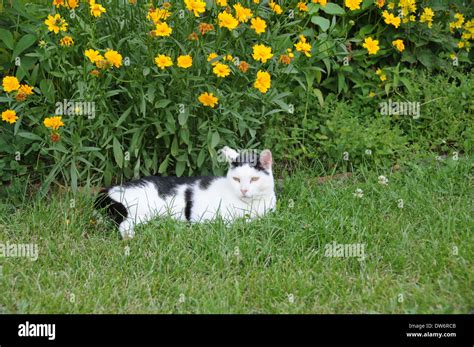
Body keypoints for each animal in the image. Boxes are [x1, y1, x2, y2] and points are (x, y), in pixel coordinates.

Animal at [94, 147, 276, 239]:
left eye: (254, 179)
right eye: (237, 179)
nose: (243, 190)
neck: (252, 205)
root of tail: (110, 190)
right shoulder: (224, 220)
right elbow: (243, 223)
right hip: (140, 211)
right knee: (124, 225)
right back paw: (130, 238)